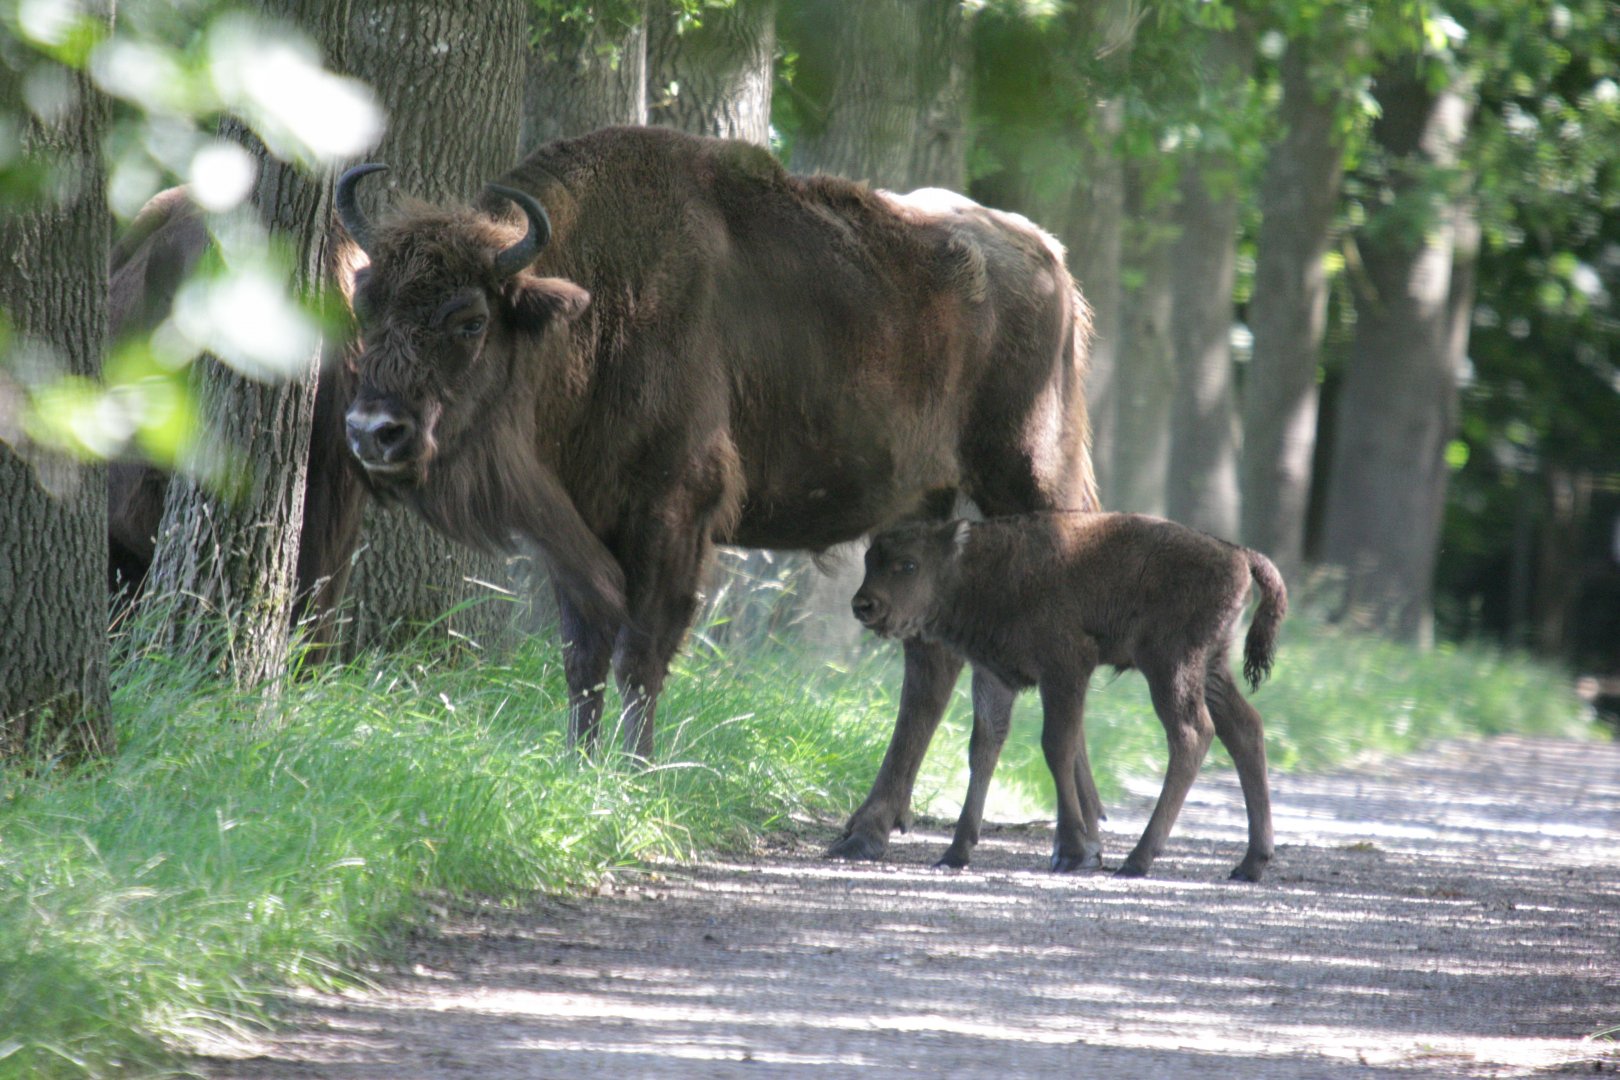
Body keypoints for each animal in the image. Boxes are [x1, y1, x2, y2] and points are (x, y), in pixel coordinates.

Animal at [334, 125, 1098, 861]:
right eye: (366, 307)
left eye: (469, 319)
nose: (374, 433)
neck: (594, 302)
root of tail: (1053, 262)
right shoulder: (575, 528)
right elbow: (582, 656)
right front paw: (577, 773)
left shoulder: (672, 514)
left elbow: (639, 655)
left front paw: (633, 784)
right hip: (923, 509)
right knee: (930, 665)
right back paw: (869, 828)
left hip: (1025, 484)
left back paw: (1078, 831)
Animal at [852, 512, 1285, 881]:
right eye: (869, 560)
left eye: (909, 564)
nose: (864, 605)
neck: (976, 565)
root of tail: (1238, 554)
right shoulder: (994, 675)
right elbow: (985, 747)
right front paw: (955, 852)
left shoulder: (1064, 667)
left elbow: (1057, 745)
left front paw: (1072, 851)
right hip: (1211, 669)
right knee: (1245, 728)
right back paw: (1250, 863)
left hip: (1170, 666)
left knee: (1192, 733)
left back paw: (1138, 859)